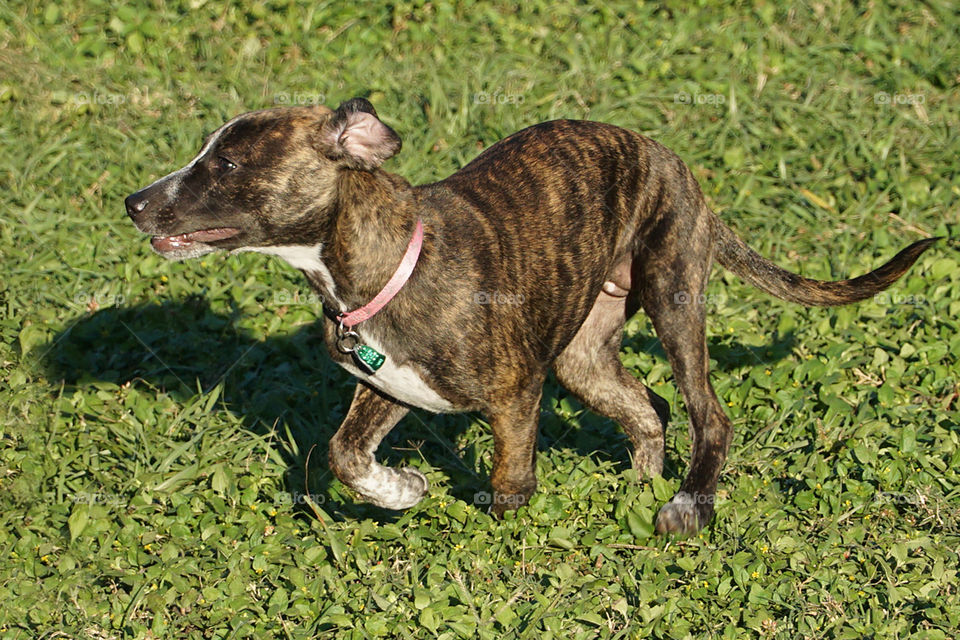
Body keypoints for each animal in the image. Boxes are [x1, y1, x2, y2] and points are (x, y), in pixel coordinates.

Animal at [127, 99, 936, 536]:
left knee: (708, 413)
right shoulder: (386, 384)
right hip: (583, 356)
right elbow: (343, 453)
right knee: (648, 410)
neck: (381, 261)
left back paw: (686, 505)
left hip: (673, 294)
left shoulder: (515, 396)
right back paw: (640, 488)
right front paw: (403, 491)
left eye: (227, 166)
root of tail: (675, 164)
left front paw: (503, 547)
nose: (134, 202)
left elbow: (509, 484)